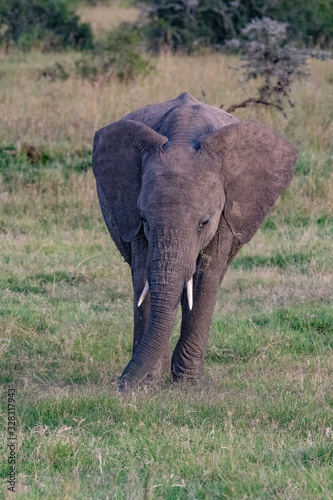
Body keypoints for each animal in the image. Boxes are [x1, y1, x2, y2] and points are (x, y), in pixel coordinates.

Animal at [91, 93, 298, 390]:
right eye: (145, 221)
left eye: (204, 222)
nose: (121, 386)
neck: (183, 135)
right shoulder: (132, 215)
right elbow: (143, 277)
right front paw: (147, 384)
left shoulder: (225, 212)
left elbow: (203, 280)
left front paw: (186, 385)